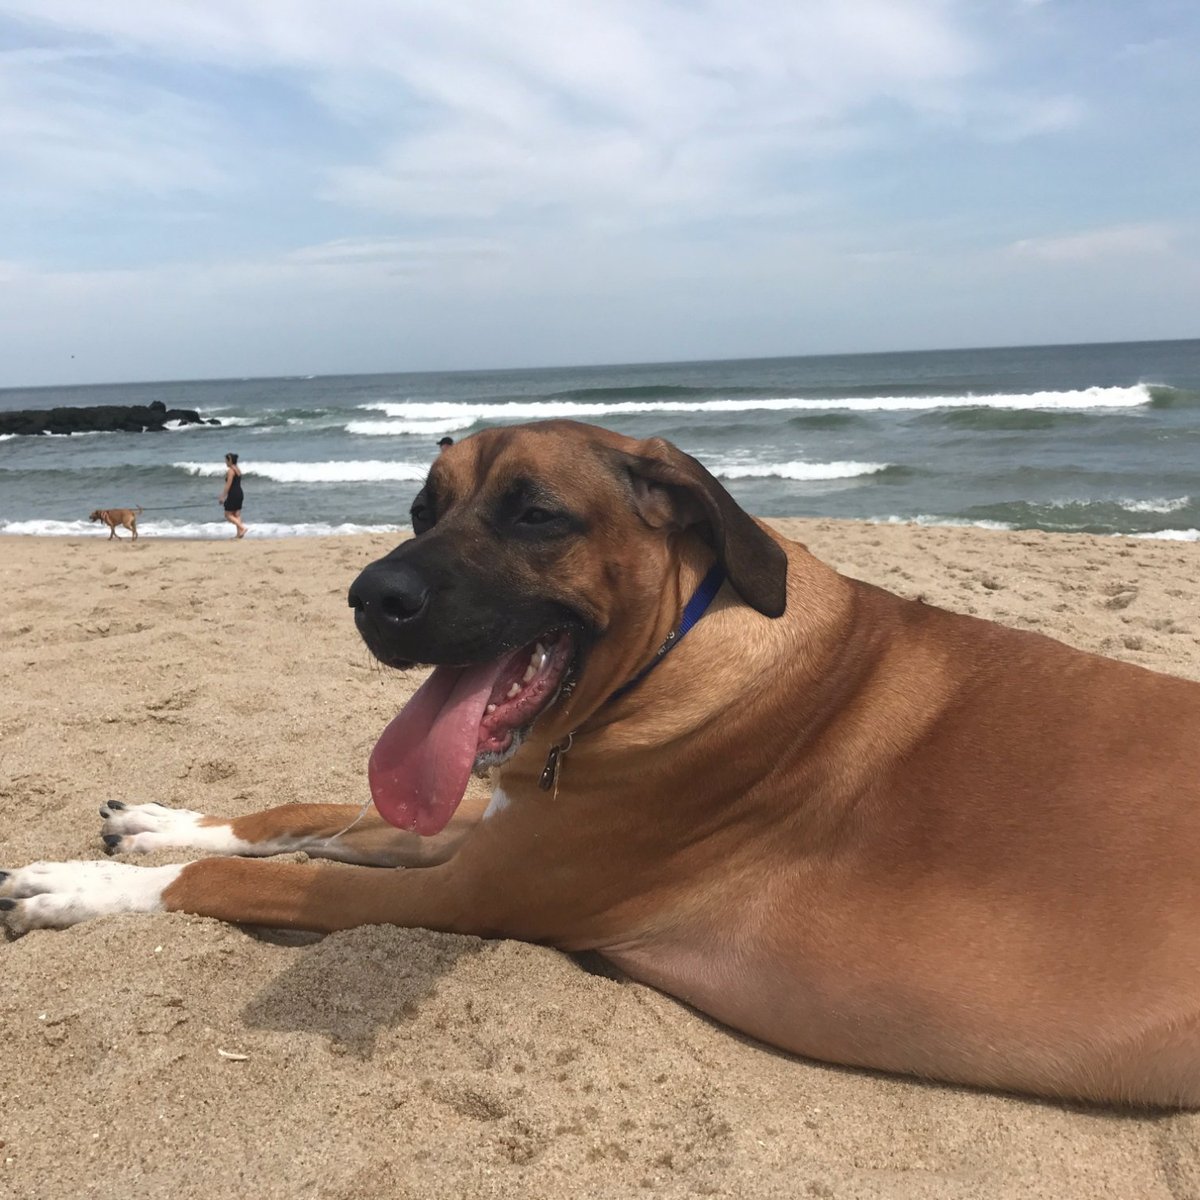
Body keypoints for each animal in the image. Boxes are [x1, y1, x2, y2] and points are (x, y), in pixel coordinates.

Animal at [7, 422, 1200, 1104]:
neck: (667, 659)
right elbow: (307, 810)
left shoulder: (471, 893)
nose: (369, 596)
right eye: (421, 509)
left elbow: (257, 875)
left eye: (536, 515)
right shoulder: (495, 824)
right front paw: (163, 822)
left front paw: (85, 886)